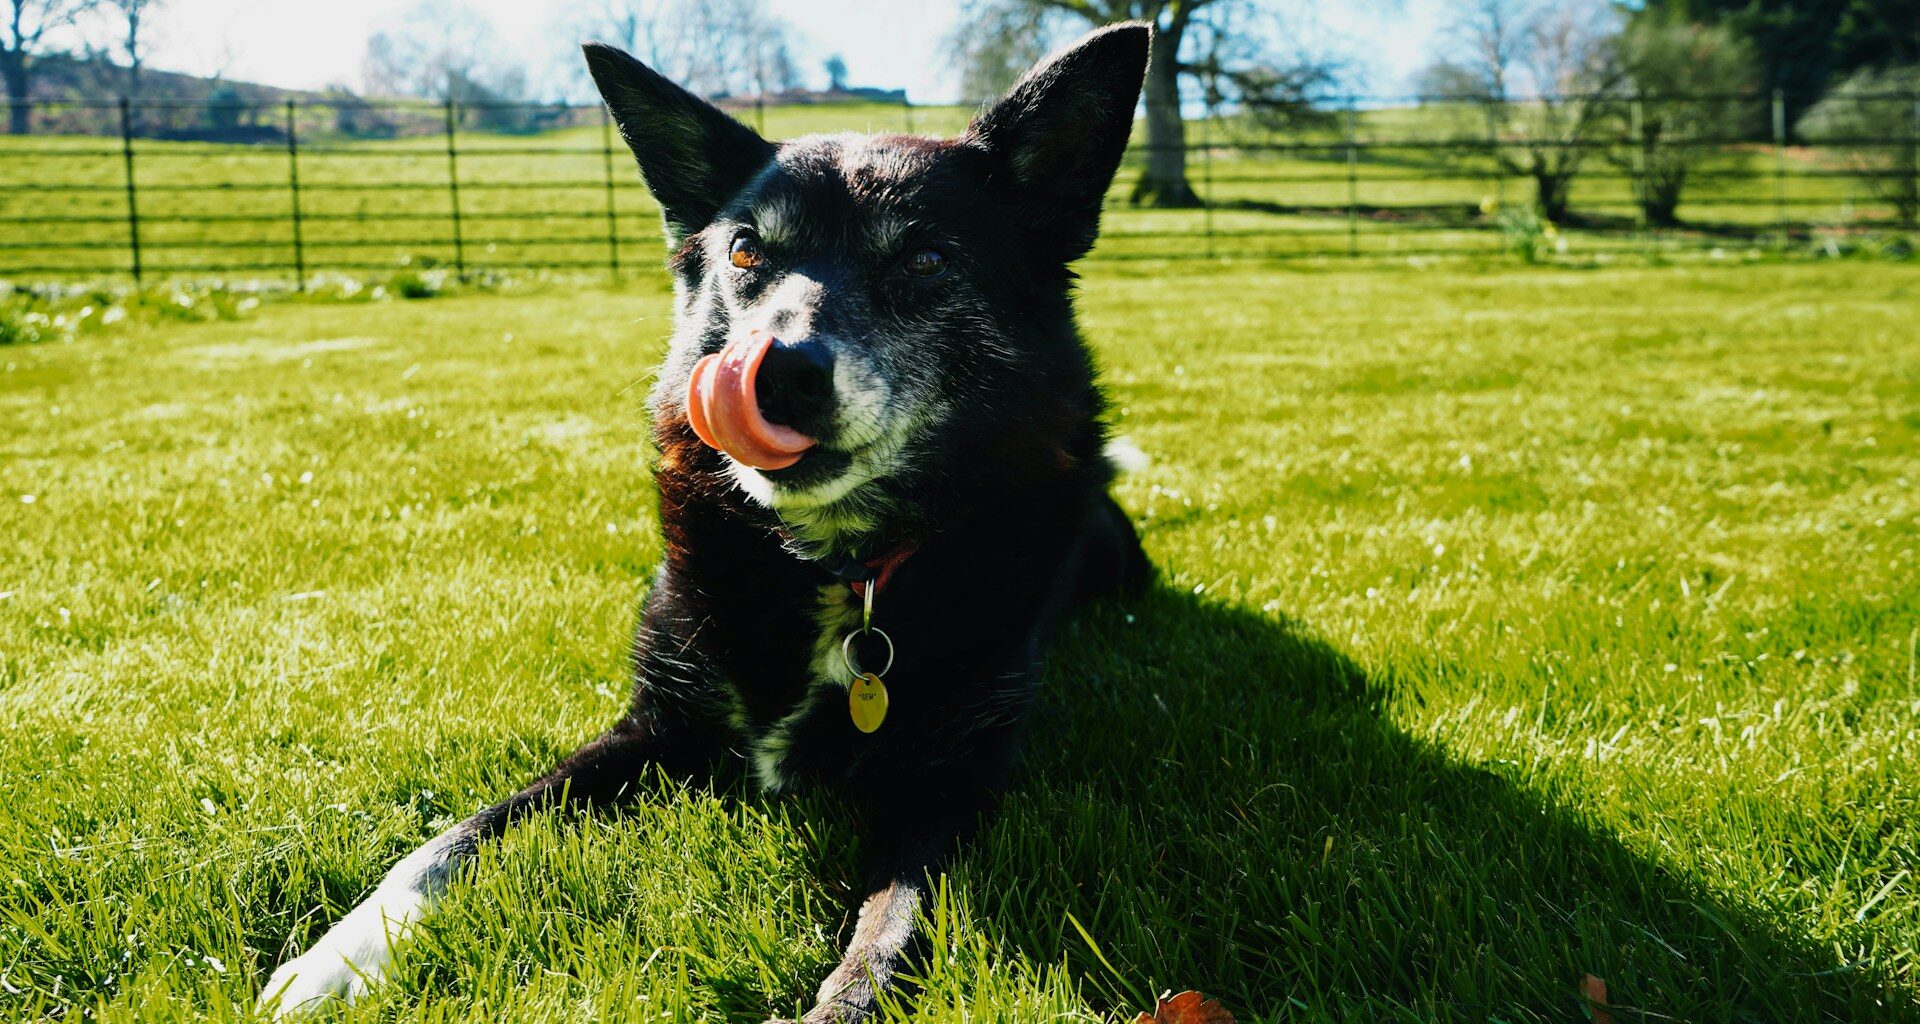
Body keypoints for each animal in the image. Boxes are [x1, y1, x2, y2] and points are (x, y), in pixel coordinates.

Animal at [261, 24, 1144, 1022]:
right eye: (747, 252)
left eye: (925, 260)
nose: (776, 371)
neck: (835, 566)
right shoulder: (653, 729)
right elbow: (453, 840)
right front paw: (338, 955)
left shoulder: (950, 782)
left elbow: (890, 931)